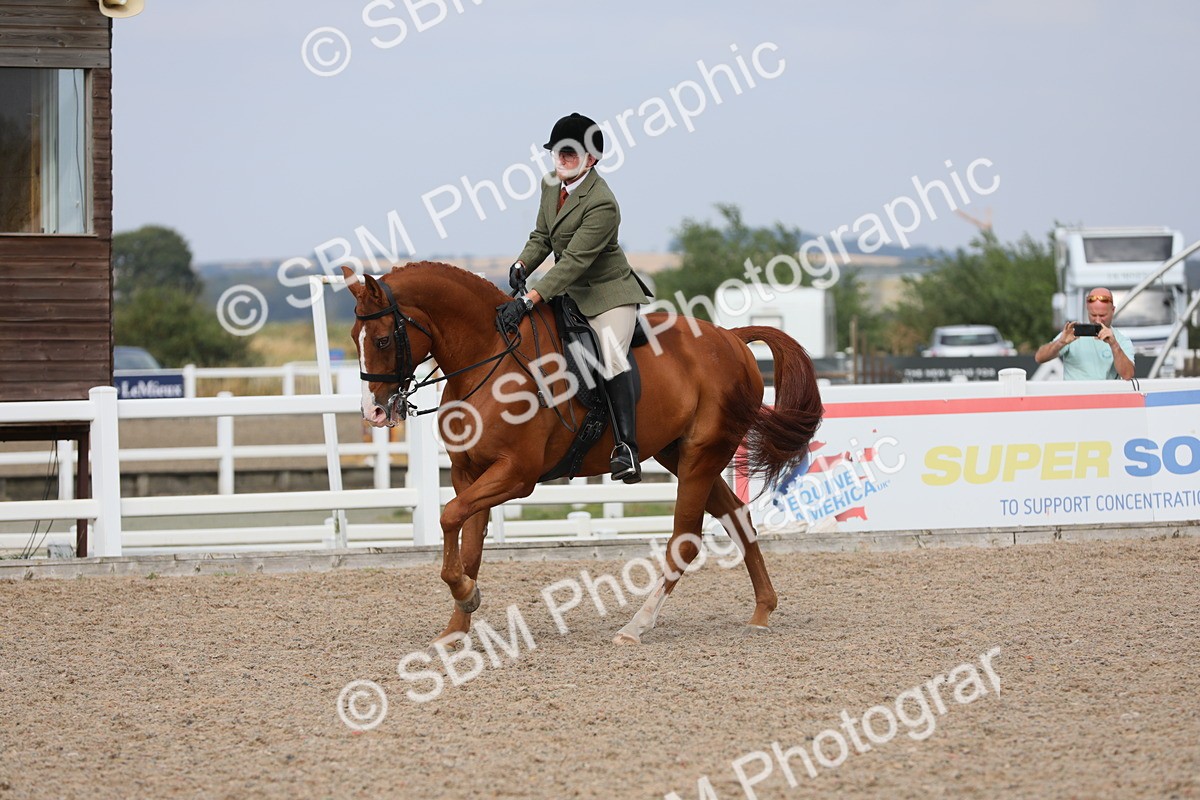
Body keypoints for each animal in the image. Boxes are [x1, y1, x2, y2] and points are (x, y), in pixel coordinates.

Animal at [341, 261, 822, 645]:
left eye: (382, 340)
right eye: (354, 336)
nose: (373, 412)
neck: (488, 358)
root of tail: (731, 338)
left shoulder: (516, 475)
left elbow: (448, 517)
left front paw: (464, 595)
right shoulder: (468, 473)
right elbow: (467, 540)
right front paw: (458, 624)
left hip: (702, 455)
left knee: (684, 541)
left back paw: (635, 627)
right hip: (679, 454)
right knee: (737, 517)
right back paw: (762, 611)